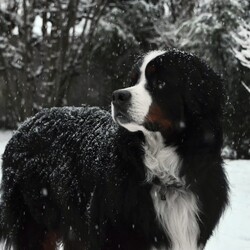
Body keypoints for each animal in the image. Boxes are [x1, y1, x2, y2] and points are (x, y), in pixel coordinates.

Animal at [0, 49, 229, 250]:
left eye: (160, 82)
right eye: (133, 81)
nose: (118, 96)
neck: (163, 175)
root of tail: (26, 124)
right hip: (35, 225)